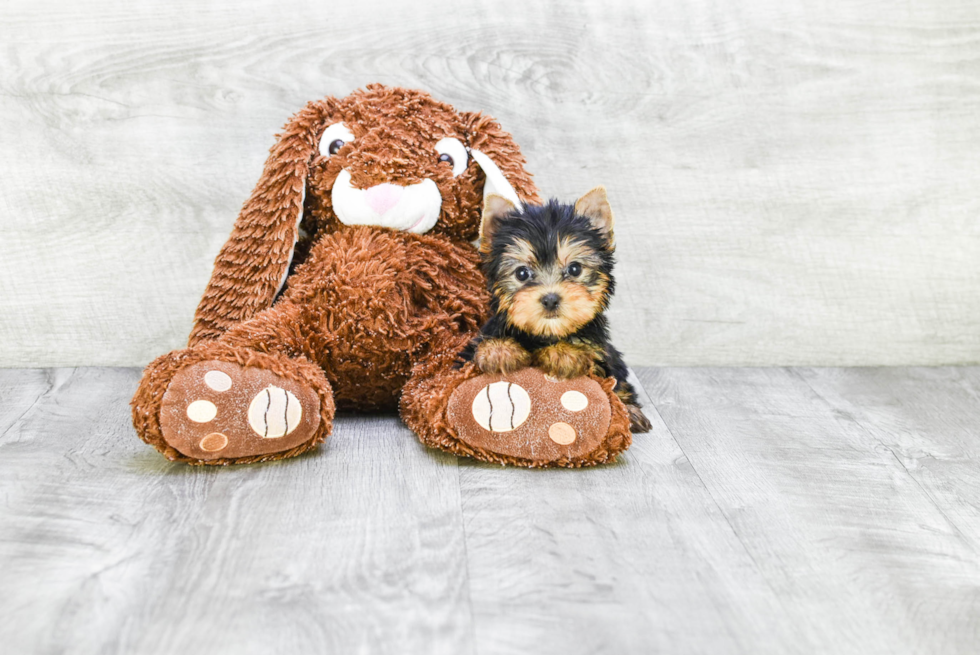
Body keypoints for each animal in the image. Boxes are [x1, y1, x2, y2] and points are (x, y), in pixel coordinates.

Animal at [458, 187, 652, 434]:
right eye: (522, 273)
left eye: (575, 269)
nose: (550, 299)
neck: (546, 334)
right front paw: (499, 351)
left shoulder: (599, 351)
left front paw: (563, 353)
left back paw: (630, 411)